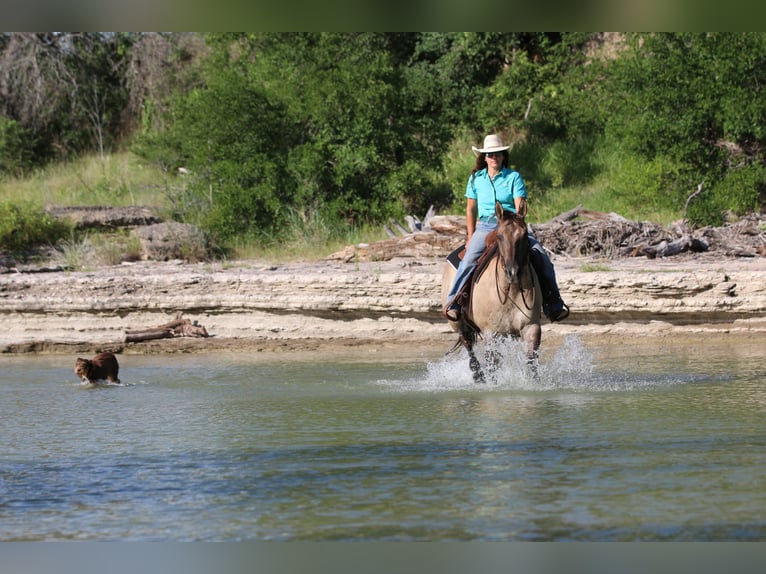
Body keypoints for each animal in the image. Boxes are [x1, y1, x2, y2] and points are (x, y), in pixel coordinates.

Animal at [441, 201, 542, 382]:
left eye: (524, 236)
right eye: (500, 237)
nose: (512, 272)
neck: (510, 291)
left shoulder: (531, 326)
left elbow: (531, 360)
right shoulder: (491, 333)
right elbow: (493, 364)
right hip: (458, 323)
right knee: (468, 345)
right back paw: (478, 376)